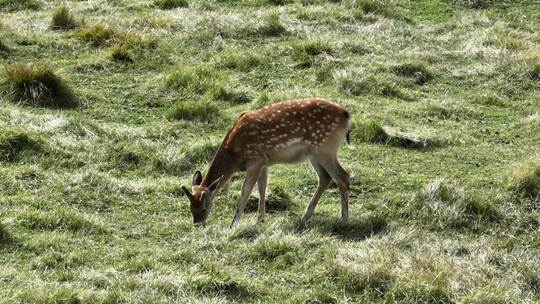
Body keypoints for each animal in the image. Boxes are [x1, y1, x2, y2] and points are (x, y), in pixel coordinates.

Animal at [181, 98, 350, 228]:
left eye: (203, 208)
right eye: (190, 208)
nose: (197, 224)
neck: (234, 155)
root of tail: (346, 115)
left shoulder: (255, 159)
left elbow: (246, 190)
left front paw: (233, 224)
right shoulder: (265, 162)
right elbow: (262, 187)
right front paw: (260, 219)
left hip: (325, 148)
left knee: (343, 176)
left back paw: (344, 218)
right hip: (314, 153)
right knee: (325, 177)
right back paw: (305, 216)